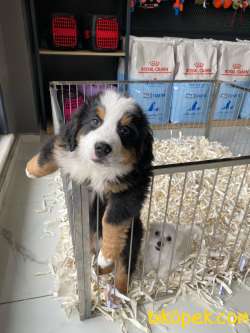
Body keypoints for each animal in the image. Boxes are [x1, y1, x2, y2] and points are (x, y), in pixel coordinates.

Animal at [26, 89, 153, 292]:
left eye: (124, 131)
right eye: (95, 121)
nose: (102, 147)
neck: (96, 169)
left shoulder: (129, 190)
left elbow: (111, 219)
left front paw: (107, 254)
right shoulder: (65, 147)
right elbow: (49, 153)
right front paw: (30, 170)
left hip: (132, 237)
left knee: (123, 269)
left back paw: (117, 292)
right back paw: (99, 270)